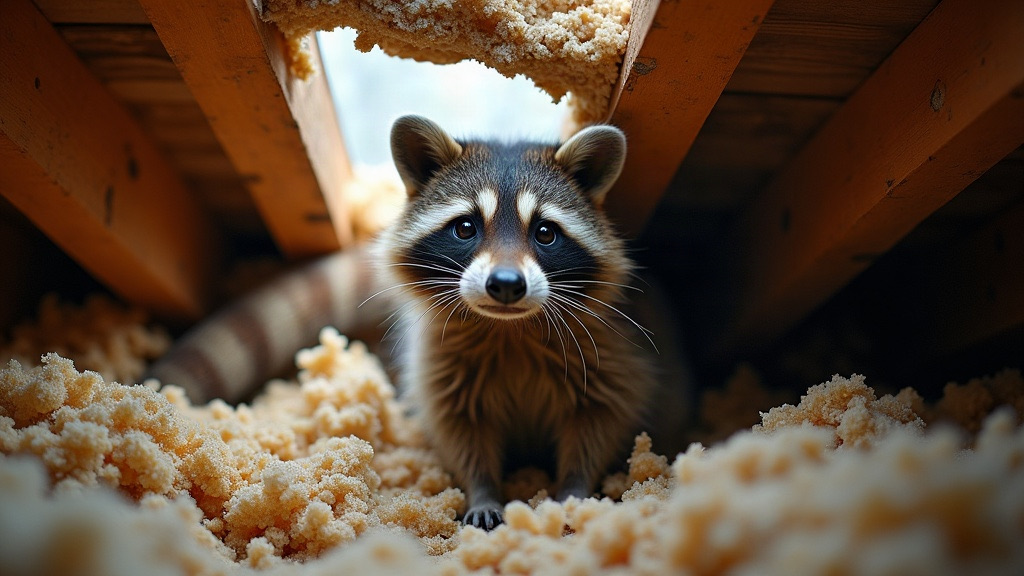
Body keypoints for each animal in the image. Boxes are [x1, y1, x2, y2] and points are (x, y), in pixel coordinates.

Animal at [144, 115, 689, 530]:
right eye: (466, 228)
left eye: (545, 233)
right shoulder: (440, 366)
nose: (506, 285)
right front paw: (483, 490)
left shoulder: (612, 353)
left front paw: (574, 483)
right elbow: (461, 432)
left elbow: (599, 422)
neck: (507, 329)